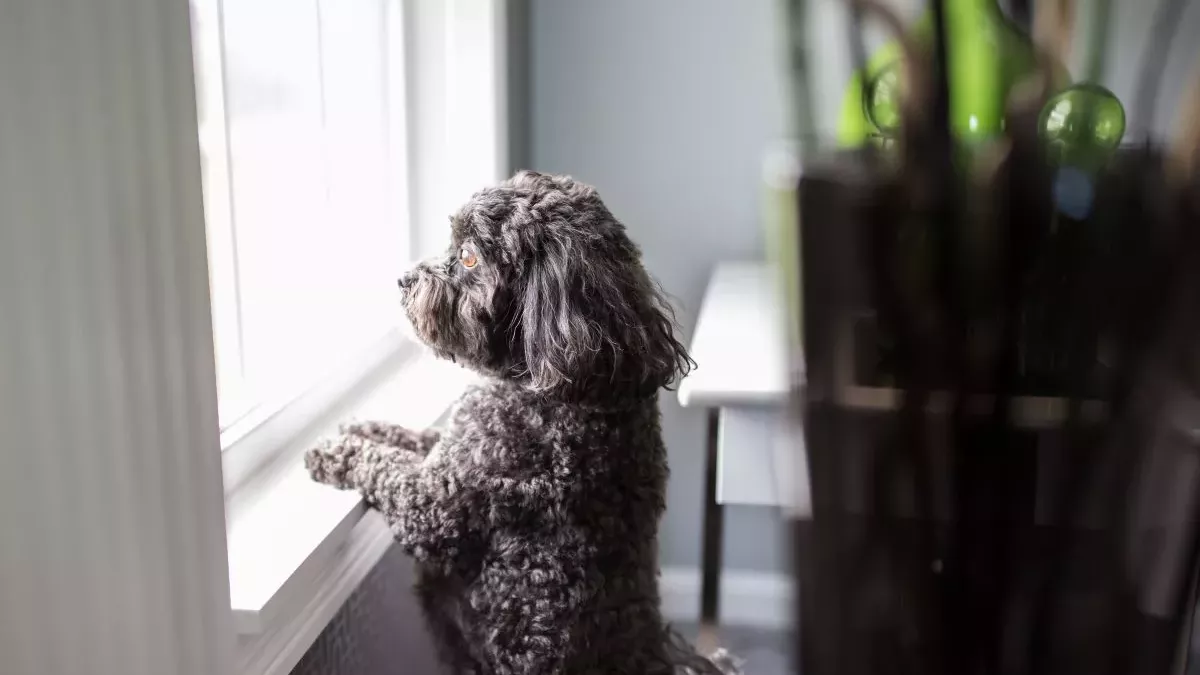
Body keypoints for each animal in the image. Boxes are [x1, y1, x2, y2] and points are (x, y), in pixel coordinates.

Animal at [307, 170, 739, 667]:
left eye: (469, 256)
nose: (403, 279)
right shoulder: (454, 447)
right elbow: (414, 438)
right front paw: (361, 427)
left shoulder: (435, 501)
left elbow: (385, 467)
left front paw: (335, 449)